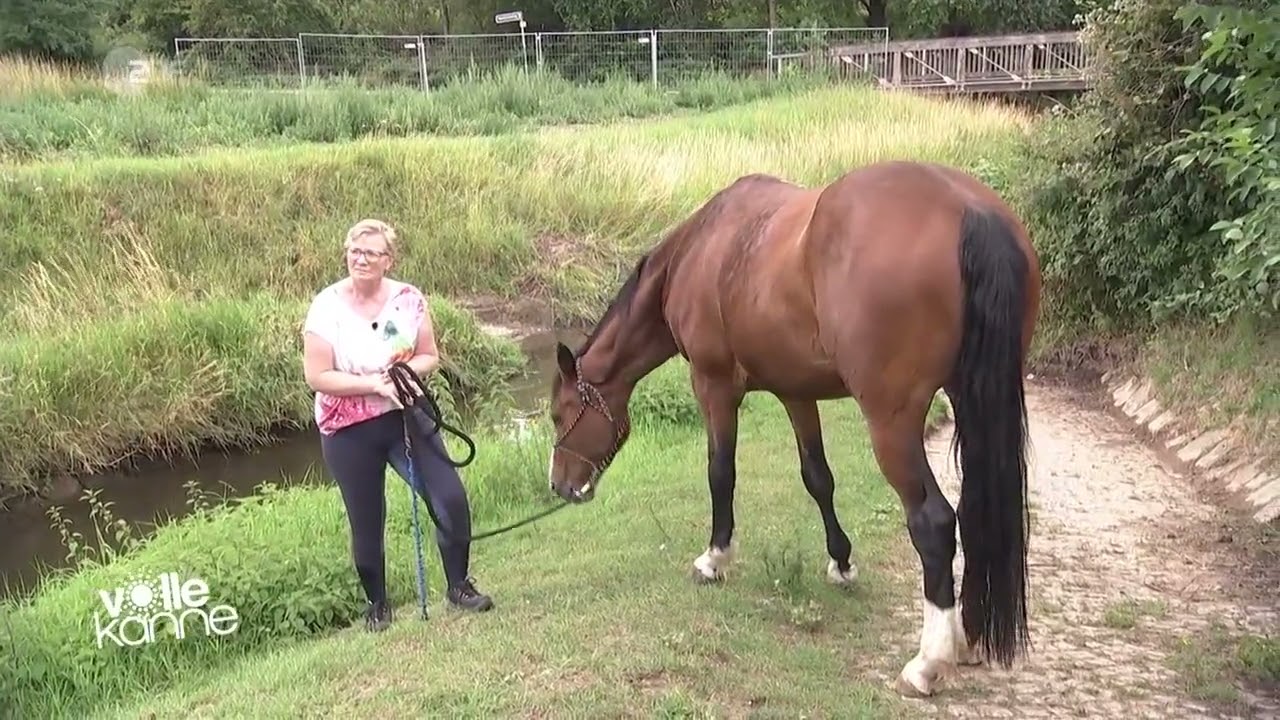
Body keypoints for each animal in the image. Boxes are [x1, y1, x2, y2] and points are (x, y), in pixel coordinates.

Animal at [544, 159, 1041, 698]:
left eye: (558, 414)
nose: (560, 485)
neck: (701, 249)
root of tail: (969, 210)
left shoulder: (713, 386)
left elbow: (721, 472)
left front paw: (714, 559)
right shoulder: (797, 393)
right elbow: (818, 477)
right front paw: (841, 563)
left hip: (892, 421)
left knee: (933, 521)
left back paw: (928, 662)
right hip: (971, 395)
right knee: (973, 509)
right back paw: (967, 636)